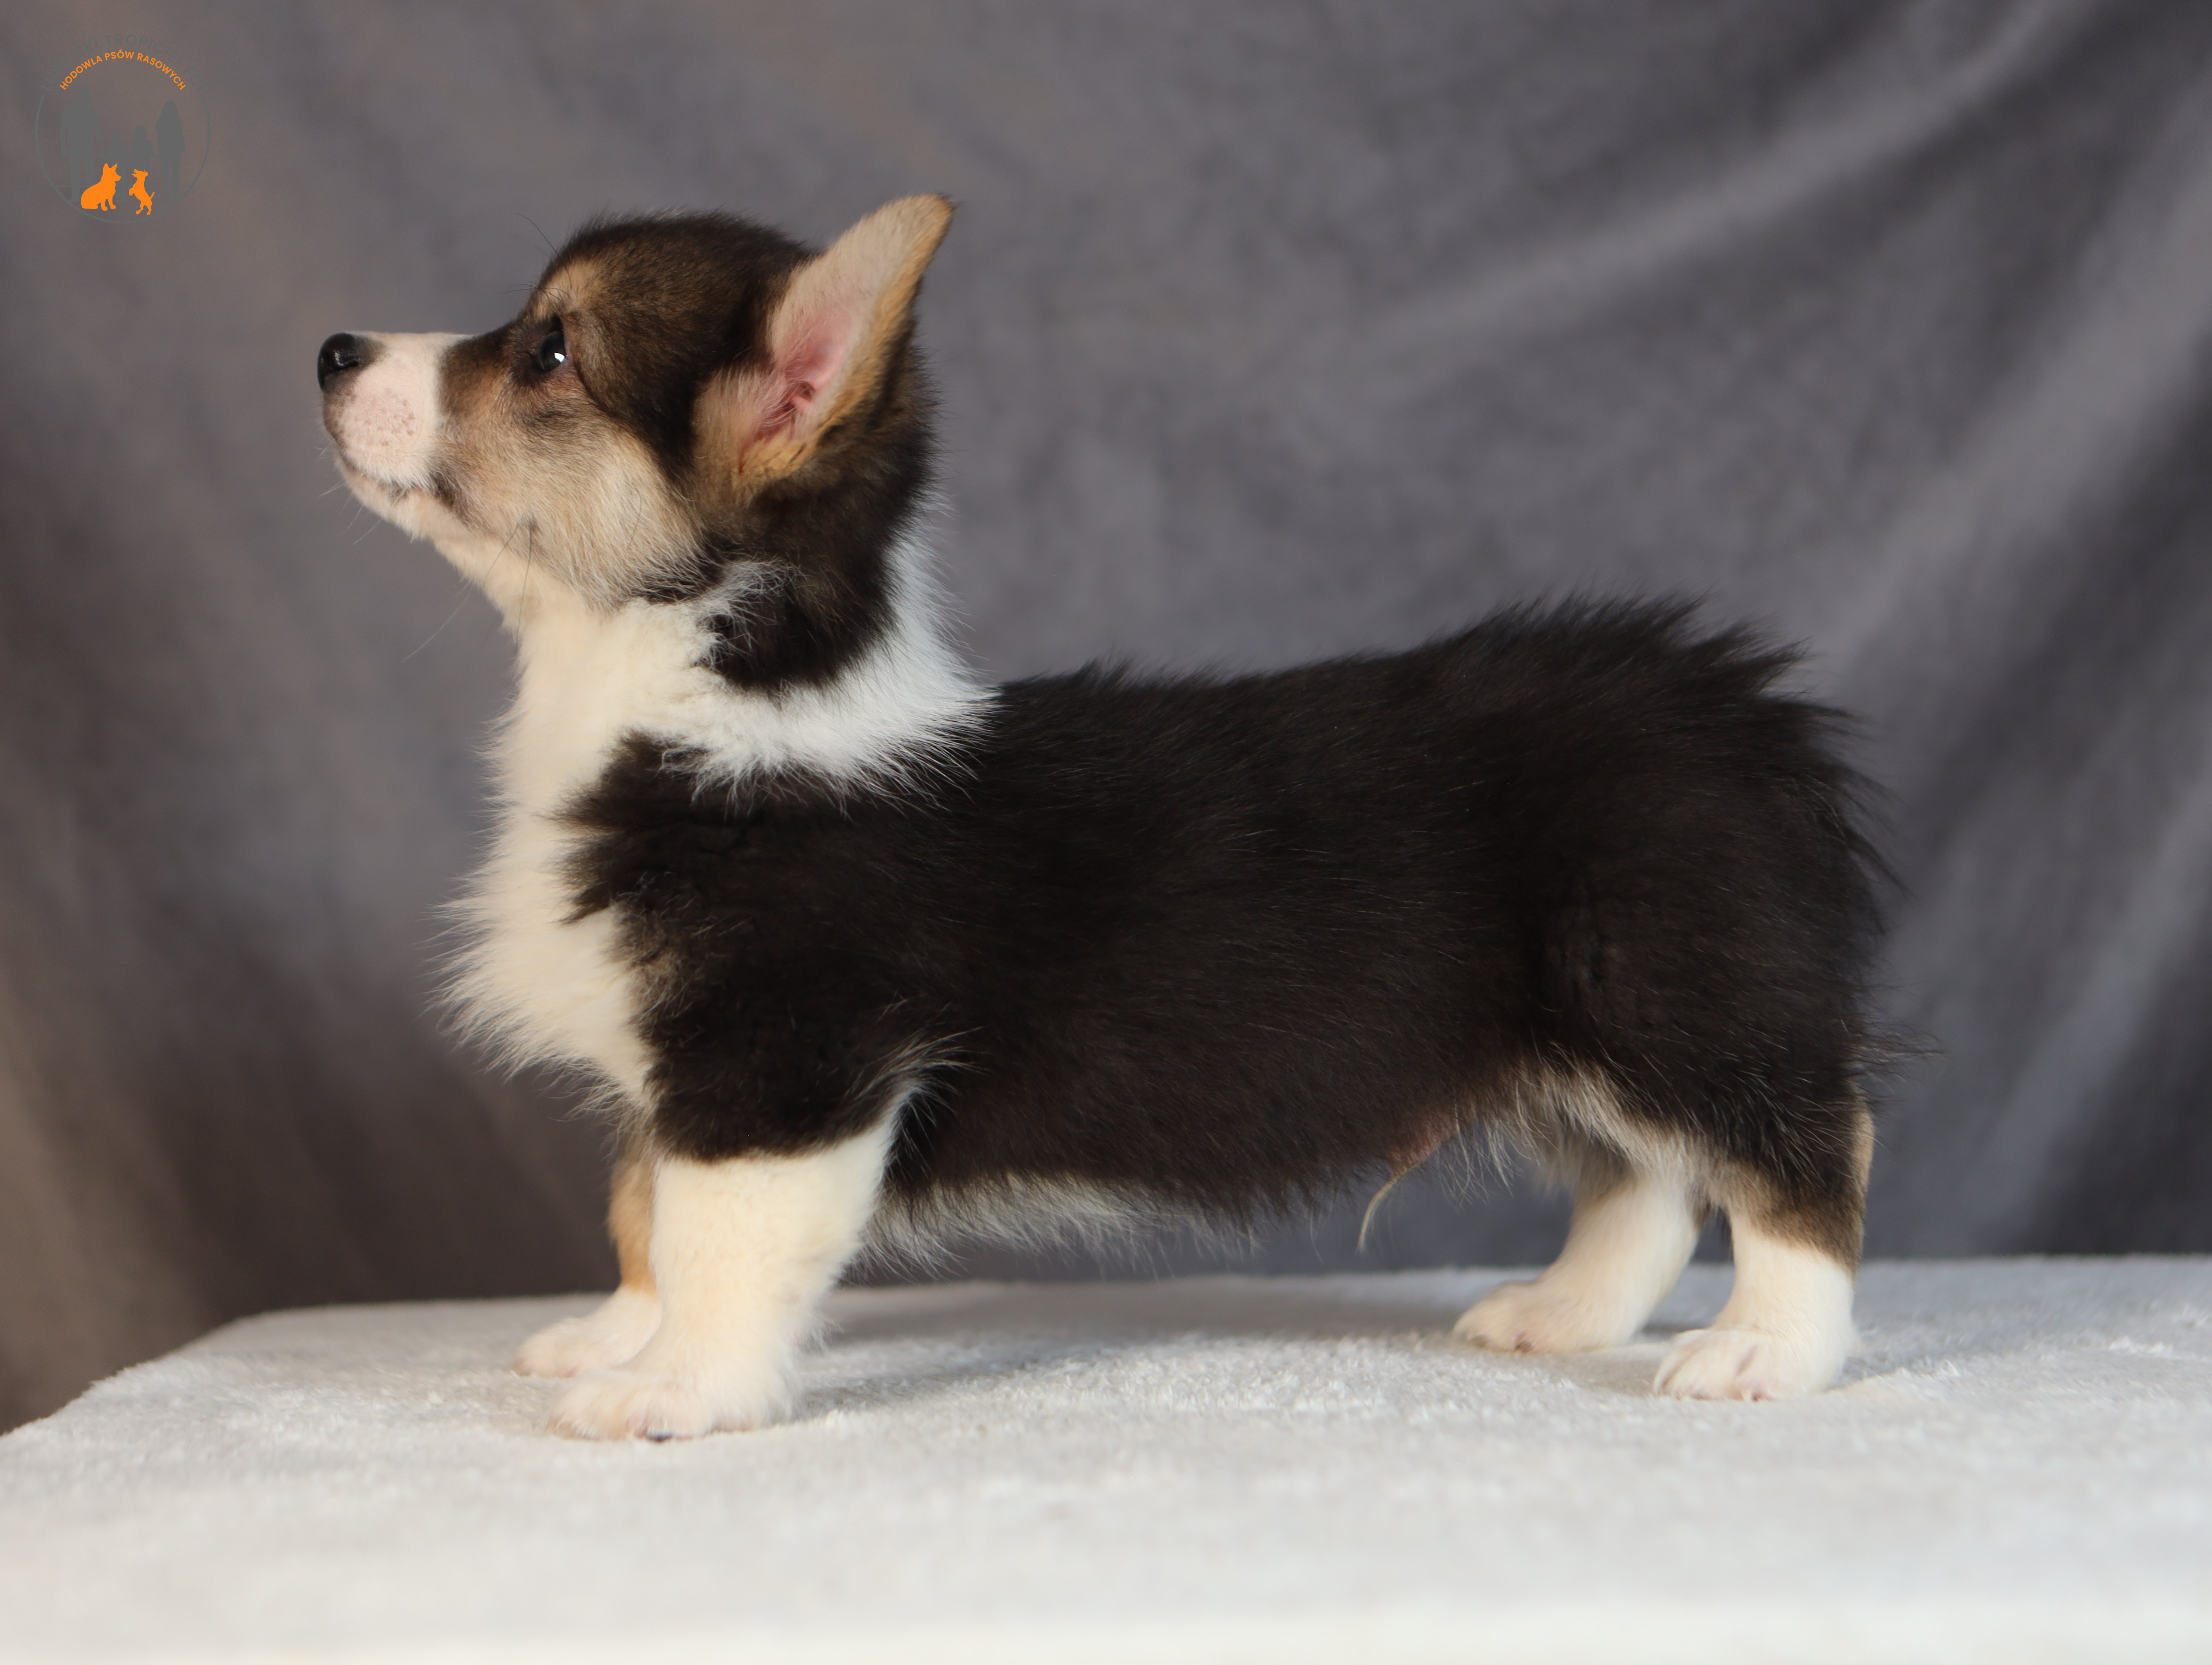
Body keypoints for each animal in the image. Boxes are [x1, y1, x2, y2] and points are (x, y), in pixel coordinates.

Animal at [318, 197, 1883, 1440]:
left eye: (549, 351)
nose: (333, 351)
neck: (701, 678)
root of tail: (1734, 706)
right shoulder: (683, 1071)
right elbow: (642, 1210)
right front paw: (613, 1334)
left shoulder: (782, 1066)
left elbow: (715, 1243)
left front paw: (674, 1390)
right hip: (1572, 1032)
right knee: (1646, 1184)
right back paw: (1565, 1314)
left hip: (1672, 989)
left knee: (1805, 1153)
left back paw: (1765, 1351)